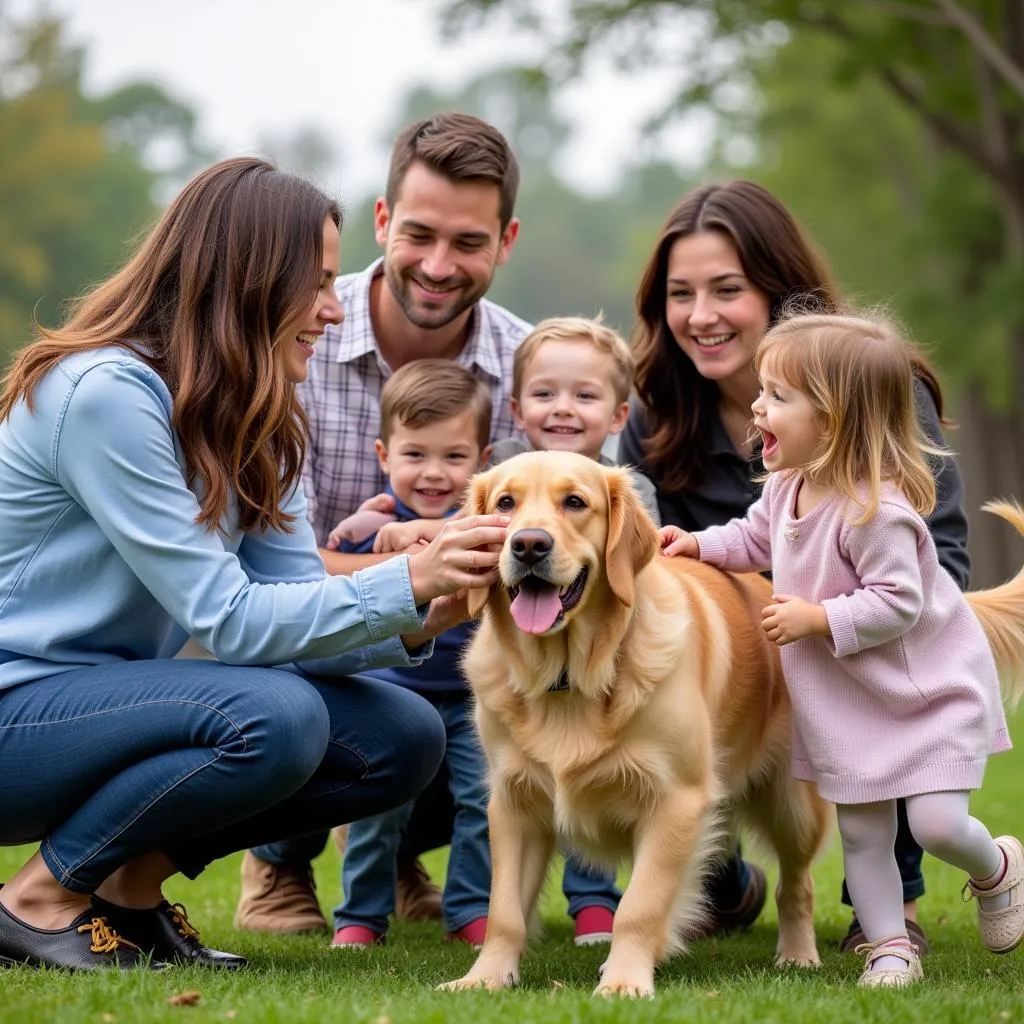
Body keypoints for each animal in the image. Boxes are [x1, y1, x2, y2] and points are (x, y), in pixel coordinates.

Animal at [444, 452, 1024, 995]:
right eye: (505, 504)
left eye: (575, 503)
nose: (528, 546)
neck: (570, 677)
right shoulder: (514, 803)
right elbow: (504, 912)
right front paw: (484, 978)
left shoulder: (677, 799)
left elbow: (640, 905)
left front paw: (625, 980)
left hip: (793, 804)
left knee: (798, 885)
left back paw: (799, 954)